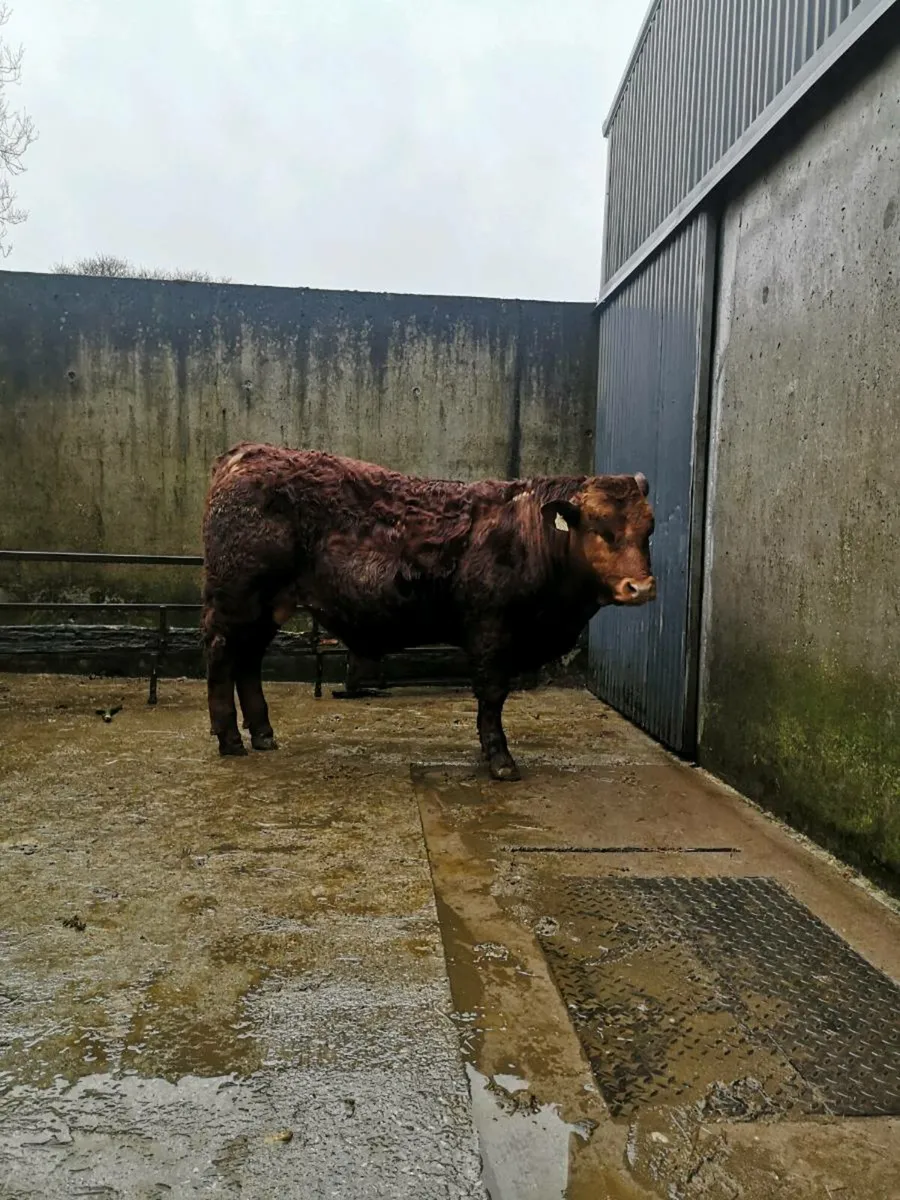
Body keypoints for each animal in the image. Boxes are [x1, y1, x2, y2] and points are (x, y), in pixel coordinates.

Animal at [201, 443, 656, 781]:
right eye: (601, 529)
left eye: (648, 529)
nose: (642, 588)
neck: (528, 535)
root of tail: (245, 455)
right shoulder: (492, 630)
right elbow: (492, 694)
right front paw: (500, 760)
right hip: (237, 601)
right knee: (224, 657)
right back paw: (230, 739)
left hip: (267, 607)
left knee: (249, 661)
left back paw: (262, 734)